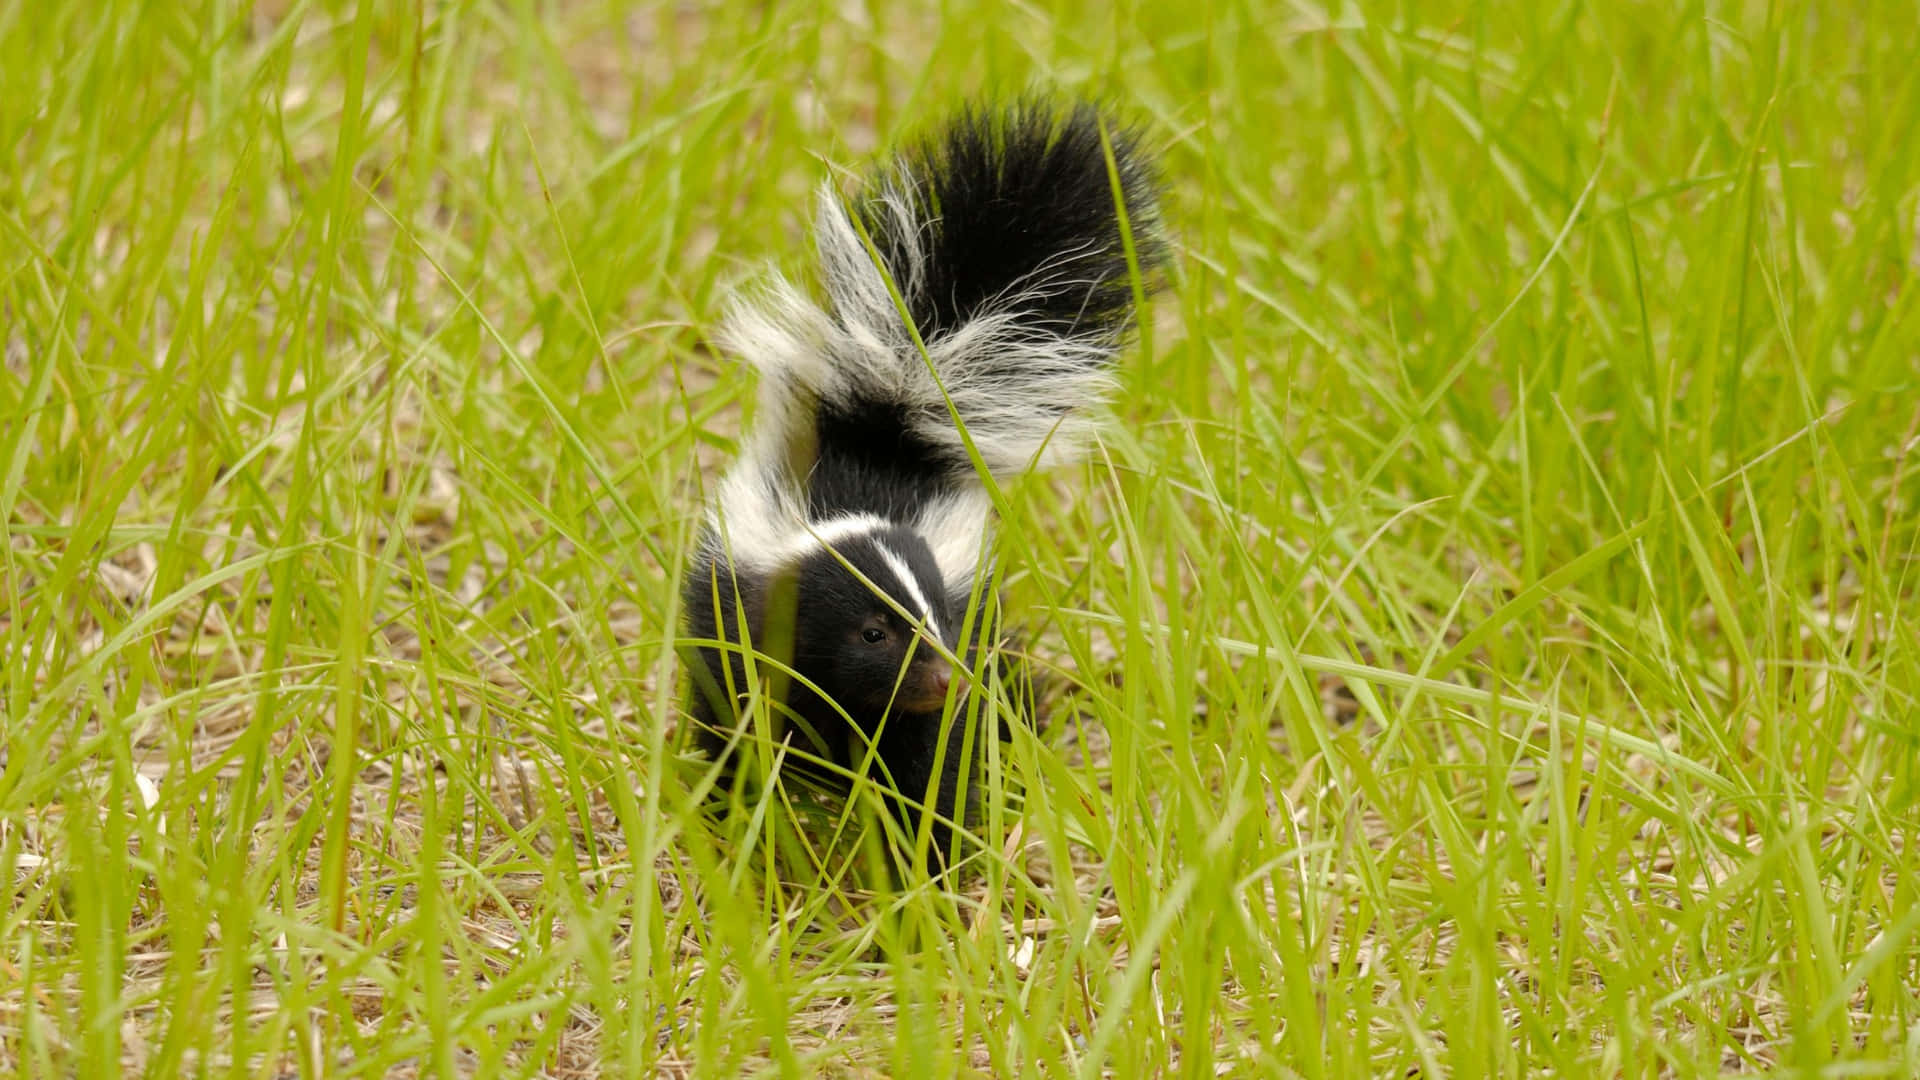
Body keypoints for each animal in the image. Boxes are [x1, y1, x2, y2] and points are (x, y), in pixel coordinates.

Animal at [687, 96, 1167, 860]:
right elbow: (741, 730)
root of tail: (888, 420)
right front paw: (745, 830)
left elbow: (929, 769)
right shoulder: (736, 633)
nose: (949, 678)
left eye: (939, 616)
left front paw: (926, 862)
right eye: (872, 632)